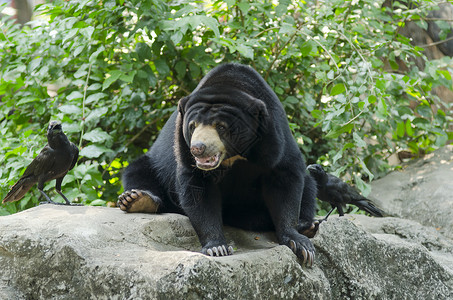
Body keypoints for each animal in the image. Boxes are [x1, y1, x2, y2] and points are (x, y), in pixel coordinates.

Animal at [120, 62, 318, 264]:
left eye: (221, 127)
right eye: (192, 125)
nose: (198, 148)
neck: (233, 155)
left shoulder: (274, 137)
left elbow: (285, 178)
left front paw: (300, 244)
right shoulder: (183, 150)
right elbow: (198, 189)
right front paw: (217, 247)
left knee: (309, 185)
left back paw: (308, 226)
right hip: (155, 165)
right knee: (138, 171)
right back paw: (137, 199)